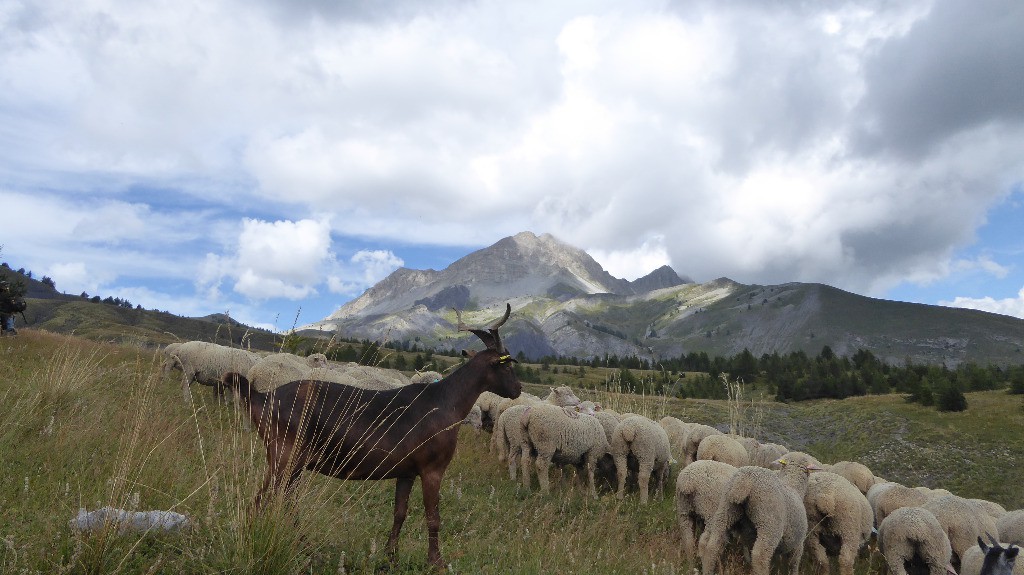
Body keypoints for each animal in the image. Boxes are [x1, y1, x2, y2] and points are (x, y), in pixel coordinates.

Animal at [223, 302, 520, 564]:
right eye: (507, 365)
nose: (517, 390)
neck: (444, 402)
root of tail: (260, 396)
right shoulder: (432, 469)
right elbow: (433, 517)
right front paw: (436, 562)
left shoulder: (406, 472)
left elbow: (400, 513)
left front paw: (391, 557)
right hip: (285, 457)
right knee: (264, 500)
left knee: (283, 501)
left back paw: (305, 548)